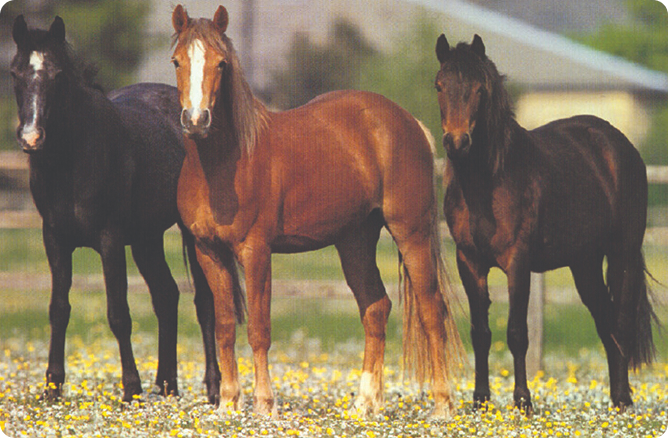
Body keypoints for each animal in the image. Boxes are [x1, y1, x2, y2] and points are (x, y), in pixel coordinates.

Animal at [11, 15, 221, 405]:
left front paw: (131, 387)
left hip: (189, 233)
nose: (31, 138)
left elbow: (118, 313)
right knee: (166, 296)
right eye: (15, 72)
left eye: (57, 74)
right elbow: (58, 309)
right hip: (146, 239)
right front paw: (52, 387)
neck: (73, 157)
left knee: (204, 303)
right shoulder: (55, 239)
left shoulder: (109, 240)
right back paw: (166, 386)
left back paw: (213, 389)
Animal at [169, 5, 463, 418]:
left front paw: (265, 404)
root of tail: (409, 123)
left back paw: (441, 406)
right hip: (355, 240)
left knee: (432, 310)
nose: (197, 121)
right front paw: (227, 403)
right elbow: (225, 326)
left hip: (412, 233)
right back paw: (365, 404)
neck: (225, 164)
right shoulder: (208, 251)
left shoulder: (256, 251)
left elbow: (259, 329)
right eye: (177, 61)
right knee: (376, 307)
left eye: (221, 63)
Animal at [435, 33, 657, 413]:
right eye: (439, 85)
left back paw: (625, 400)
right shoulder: (470, 262)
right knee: (606, 323)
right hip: (584, 264)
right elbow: (480, 333)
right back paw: (615, 398)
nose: (457, 142)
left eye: (479, 89)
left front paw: (523, 401)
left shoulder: (518, 262)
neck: (489, 183)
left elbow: (517, 333)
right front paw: (480, 401)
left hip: (623, 254)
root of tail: (618, 145)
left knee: (622, 323)